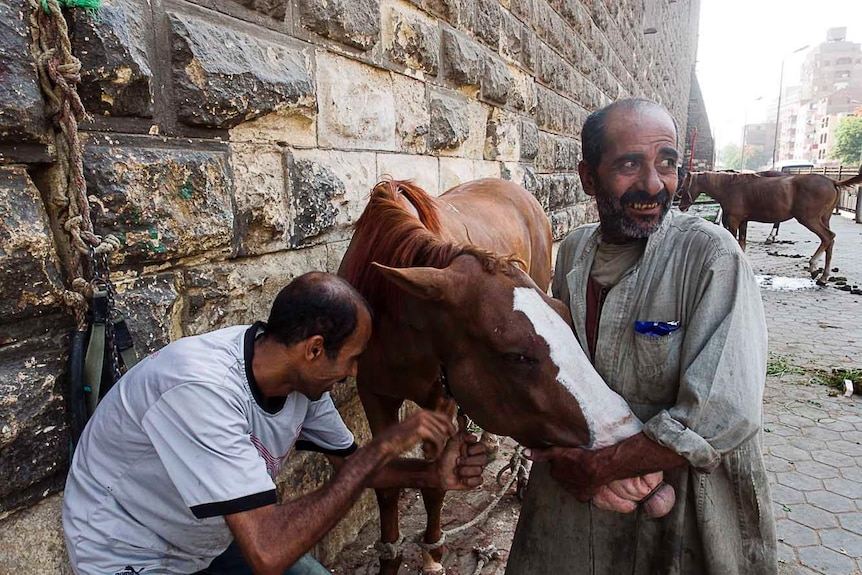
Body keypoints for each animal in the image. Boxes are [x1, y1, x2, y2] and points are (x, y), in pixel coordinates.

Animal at [680, 170, 862, 284]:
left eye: (683, 187)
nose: (681, 206)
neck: (730, 187)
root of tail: (832, 181)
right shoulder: (743, 221)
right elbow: (742, 243)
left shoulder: (733, 221)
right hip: (824, 218)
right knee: (830, 241)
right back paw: (823, 276)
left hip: (809, 219)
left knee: (828, 237)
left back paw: (814, 268)